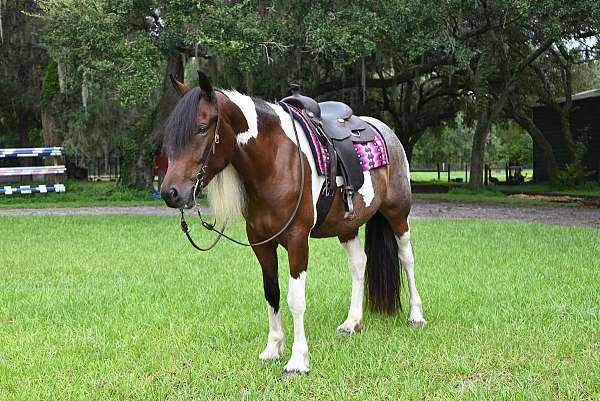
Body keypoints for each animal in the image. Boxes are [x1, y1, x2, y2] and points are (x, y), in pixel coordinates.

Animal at [161, 72, 426, 376]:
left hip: (398, 213)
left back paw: (416, 315)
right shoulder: (260, 243)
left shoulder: (298, 240)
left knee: (407, 257)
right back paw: (352, 322)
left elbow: (295, 300)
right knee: (359, 264)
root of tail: (386, 131)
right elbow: (272, 293)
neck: (275, 159)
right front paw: (273, 348)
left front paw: (298, 360)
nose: (170, 193)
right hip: (348, 227)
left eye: (202, 128)